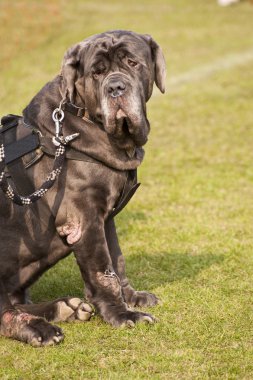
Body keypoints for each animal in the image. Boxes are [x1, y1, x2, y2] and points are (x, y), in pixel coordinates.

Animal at [0, 29, 166, 346]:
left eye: (132, 62)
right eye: (97, 72)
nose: (115, 87)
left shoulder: (106, 216)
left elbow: (117, 260)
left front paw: (131, 297)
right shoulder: (84, 217)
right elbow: (103, 270)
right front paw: (122, 314)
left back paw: (66, 308)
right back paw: (38, 327)